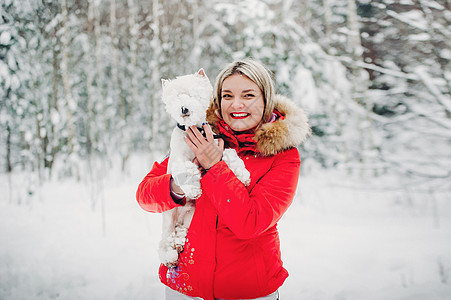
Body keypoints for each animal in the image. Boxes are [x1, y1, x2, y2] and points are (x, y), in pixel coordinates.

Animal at [159, 69, 251, 268]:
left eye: (193, 94)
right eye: (177, 97)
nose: (184, 108)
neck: (194, 130)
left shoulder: (217, 145)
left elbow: (231, 157)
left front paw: (243, 175)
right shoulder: (178, 159)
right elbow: (187, 170)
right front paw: (194, 190)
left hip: (189, 217)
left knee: (181, 231)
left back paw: (179, 242)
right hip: (169, 219)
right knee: (165, 241)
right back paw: (169, 256)